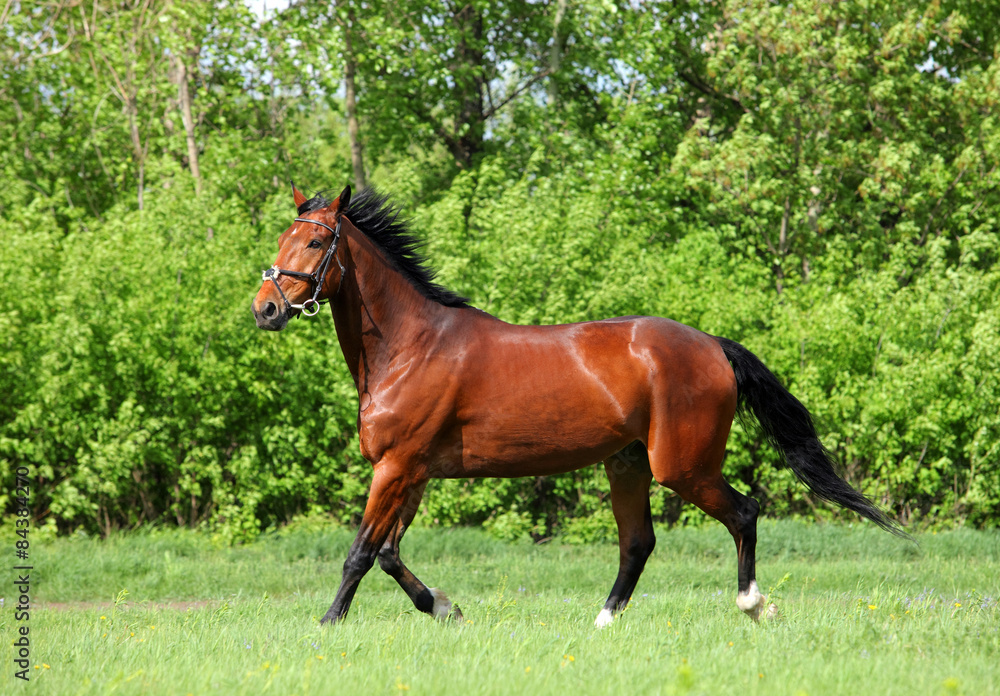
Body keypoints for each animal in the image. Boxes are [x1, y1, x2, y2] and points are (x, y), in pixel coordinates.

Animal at [251, 183, 905, 627]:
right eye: (282, 239)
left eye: (315, 241)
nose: (266, 309)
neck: (411, 346)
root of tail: (713, 346)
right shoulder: (412, 472)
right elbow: (388, 553)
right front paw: (443, 607)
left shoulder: (395, 467)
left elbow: (360, 553)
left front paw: (327, 624)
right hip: (628, 463)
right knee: (638, 542)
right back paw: (603, 620)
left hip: (683, 466)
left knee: (742, 513)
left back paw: (753, 604)